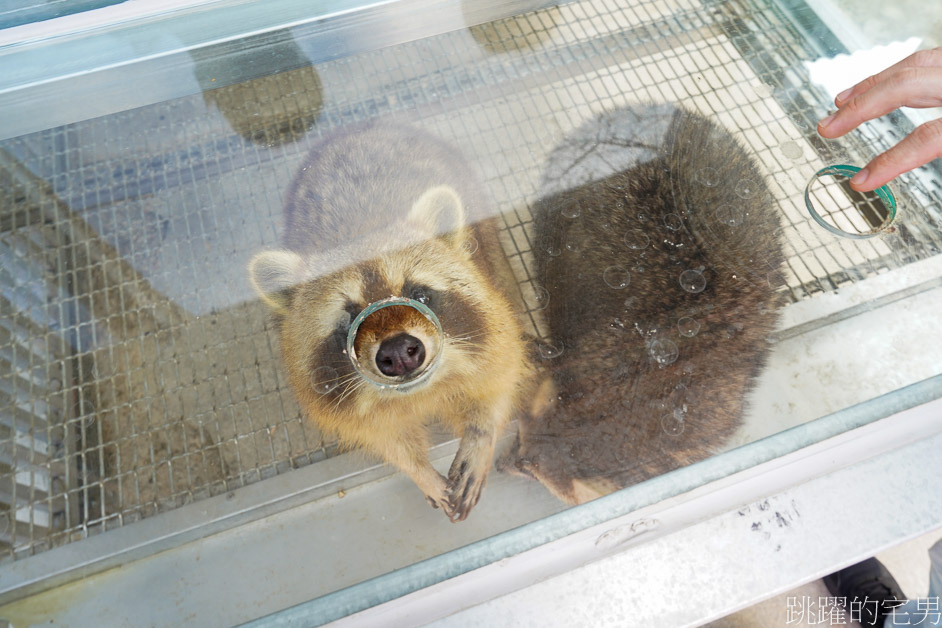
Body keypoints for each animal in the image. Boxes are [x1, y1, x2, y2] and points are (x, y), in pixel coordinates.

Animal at [249, 121, 532, 520]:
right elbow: (386, 439)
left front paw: (482, 434)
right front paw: (417, 469)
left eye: (419, 295)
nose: (398, 351)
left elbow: (498, 380)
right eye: (348, 320)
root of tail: (365, 126)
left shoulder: (493, 328)